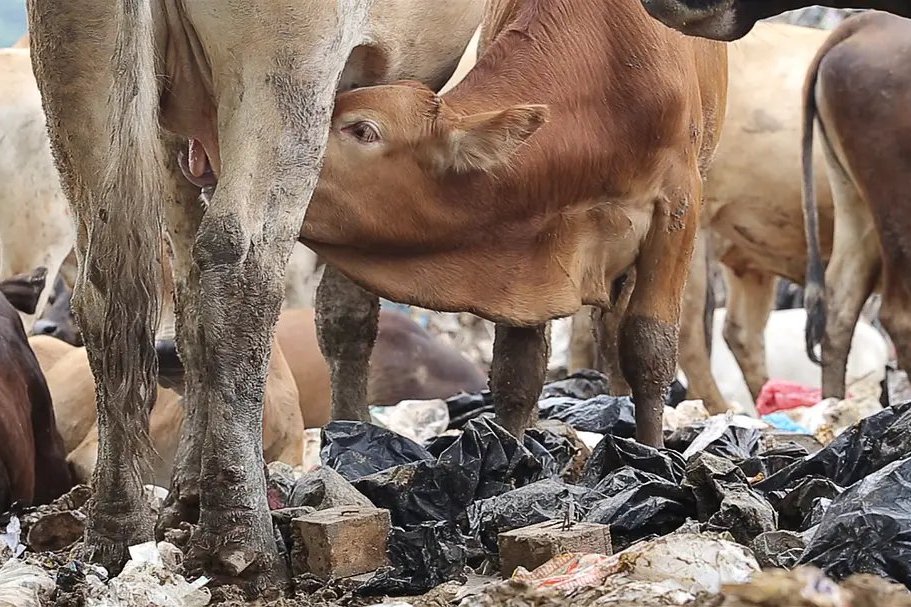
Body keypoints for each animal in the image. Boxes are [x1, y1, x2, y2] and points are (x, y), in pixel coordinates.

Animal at [27, 0, 486, 586]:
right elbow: (348, 309)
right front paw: (357, 436)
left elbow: (189, 308)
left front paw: (186, 492)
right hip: (287, 68)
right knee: (241, 263)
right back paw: (242, 539)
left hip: (77, 60)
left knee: (112, 286)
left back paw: (117, 532)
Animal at [297, 0, 728, 450]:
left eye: (363, 130)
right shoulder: (530, 236)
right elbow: (517, 367)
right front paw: (510, 451)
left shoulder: (678, 207)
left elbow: (648, 346)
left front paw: (651, 451)